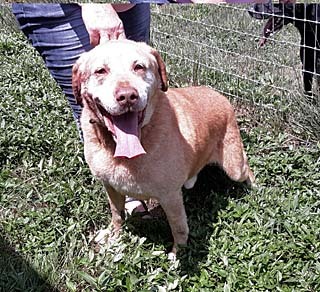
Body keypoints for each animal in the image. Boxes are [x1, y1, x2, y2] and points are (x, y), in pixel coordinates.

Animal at [72, 40, 255, 258]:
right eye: (100, 71)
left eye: (139, 67)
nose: (127, 96)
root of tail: (219, 95)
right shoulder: (111, 186)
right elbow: (117, 214)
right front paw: (114, 237)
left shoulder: (170, 196)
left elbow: (179, 228)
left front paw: (178, 254)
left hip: (234, 167)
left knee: (247, 167)